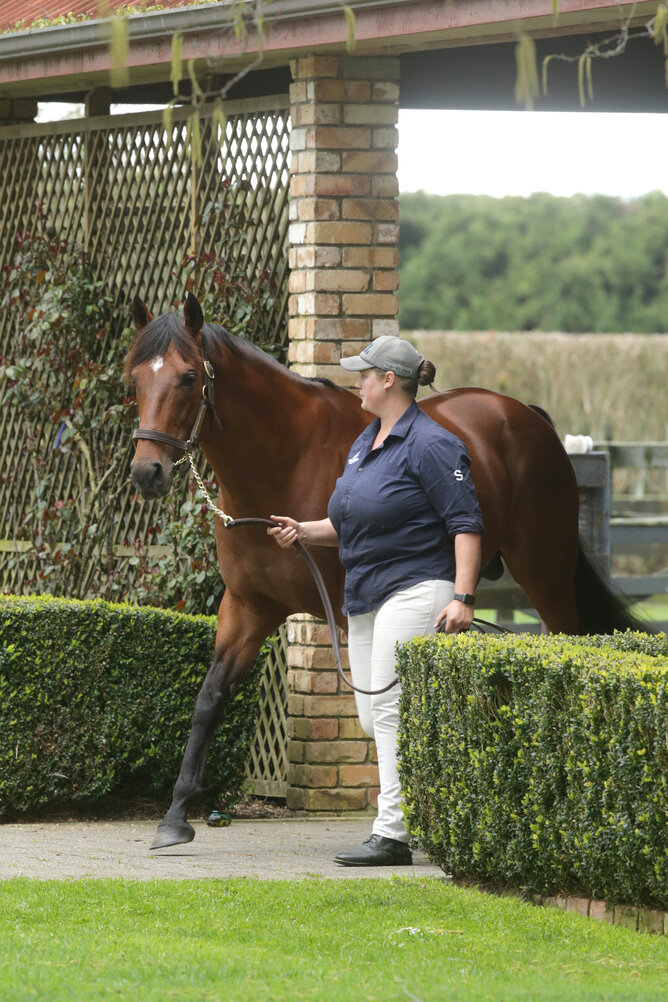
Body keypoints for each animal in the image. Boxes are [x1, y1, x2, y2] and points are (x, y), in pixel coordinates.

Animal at [125, 292, 646, 850]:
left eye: (187, 377)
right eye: (135, 377)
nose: (146, 473)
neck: (287, 458)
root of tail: (527, 416)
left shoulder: (350, 612)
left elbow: (376, 717)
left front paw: (390, 826)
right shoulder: (248, 606)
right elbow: (210, 698)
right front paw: (176, 817)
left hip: (545, 572)